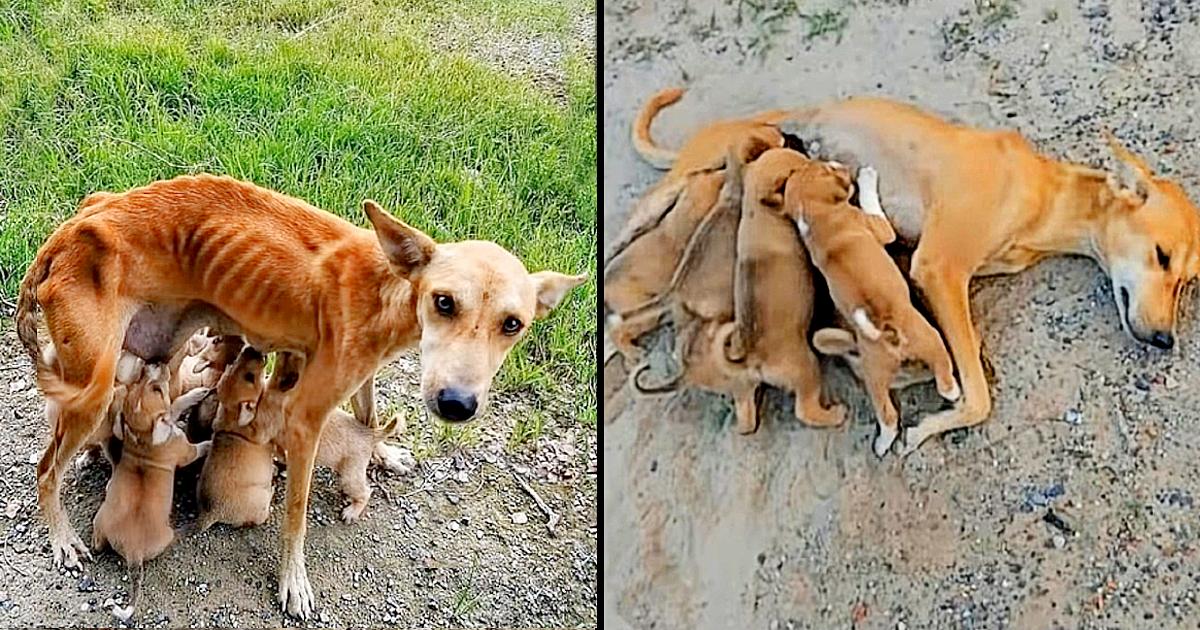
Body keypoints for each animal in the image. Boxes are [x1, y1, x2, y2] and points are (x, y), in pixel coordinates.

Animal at [91, 357, 211, 619]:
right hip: (167, 535)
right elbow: (196, 445)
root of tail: (133, 552)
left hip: (99, 521)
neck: (140, 436)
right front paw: (210, 443)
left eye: (138, 382)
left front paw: (196, 394)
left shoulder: (167, 416)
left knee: (96, 545)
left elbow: (175, 405)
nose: (153, 363)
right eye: (156, 389)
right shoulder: (185, 450)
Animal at [194, 345, 274, 532]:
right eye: (250, 377)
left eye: (234, 360)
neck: (231, 413)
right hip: (258, 502)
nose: (252, 348)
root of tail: (210, 513)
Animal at [782, 164, 960, 453]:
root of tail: (884, 330)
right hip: (931, 339)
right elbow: (871, 204)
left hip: (875, 379)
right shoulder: (878, 226)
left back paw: (881, 445)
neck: (816, 216)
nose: (842, 166)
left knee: (888, 417)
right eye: (830, 168)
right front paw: (866, 178)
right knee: (942, 375)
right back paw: (952, 390)